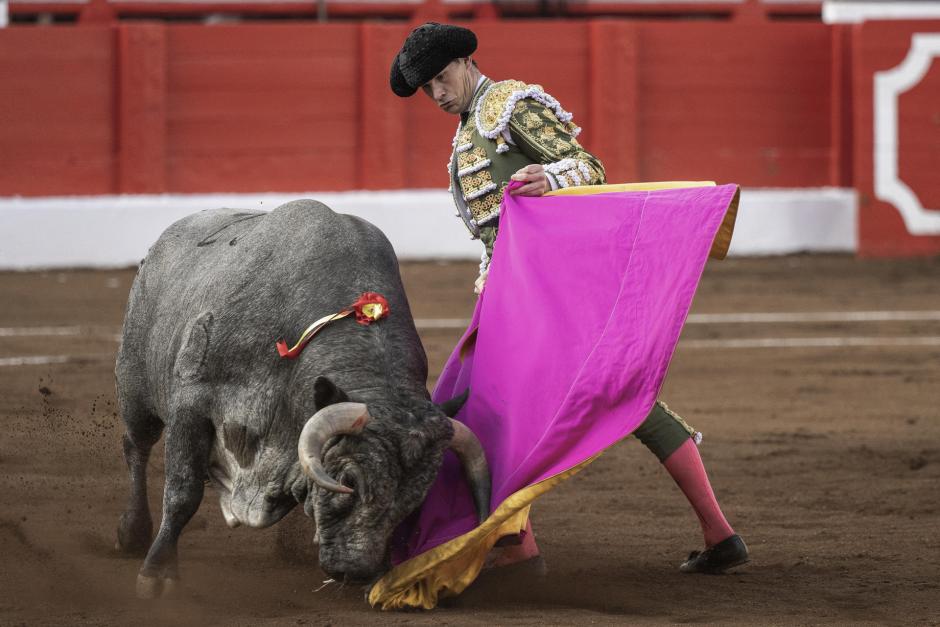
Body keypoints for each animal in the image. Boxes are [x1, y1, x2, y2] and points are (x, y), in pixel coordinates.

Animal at [114, 201, 488, 600]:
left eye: (413, 501)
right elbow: (182, 492)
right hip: (136, 392)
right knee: (136, 447)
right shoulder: (192, 403)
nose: (357, 570)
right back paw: (131, 534)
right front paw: (157, 572)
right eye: (346, 480)